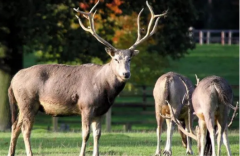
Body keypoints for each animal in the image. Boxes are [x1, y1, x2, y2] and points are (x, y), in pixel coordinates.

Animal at [7, 0, 168, 155]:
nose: (126, 74)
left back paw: (11, 152)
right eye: (116, 59)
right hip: (28, 102)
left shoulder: (101, 111)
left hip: (23, 105)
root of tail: (13, 80)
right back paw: (29, 153)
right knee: (25, 129)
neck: (106, 90)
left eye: (129, 59)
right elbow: (85, 134)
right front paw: (82, 153)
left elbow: (98, 134)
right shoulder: (86, 106)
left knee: (15, 126)